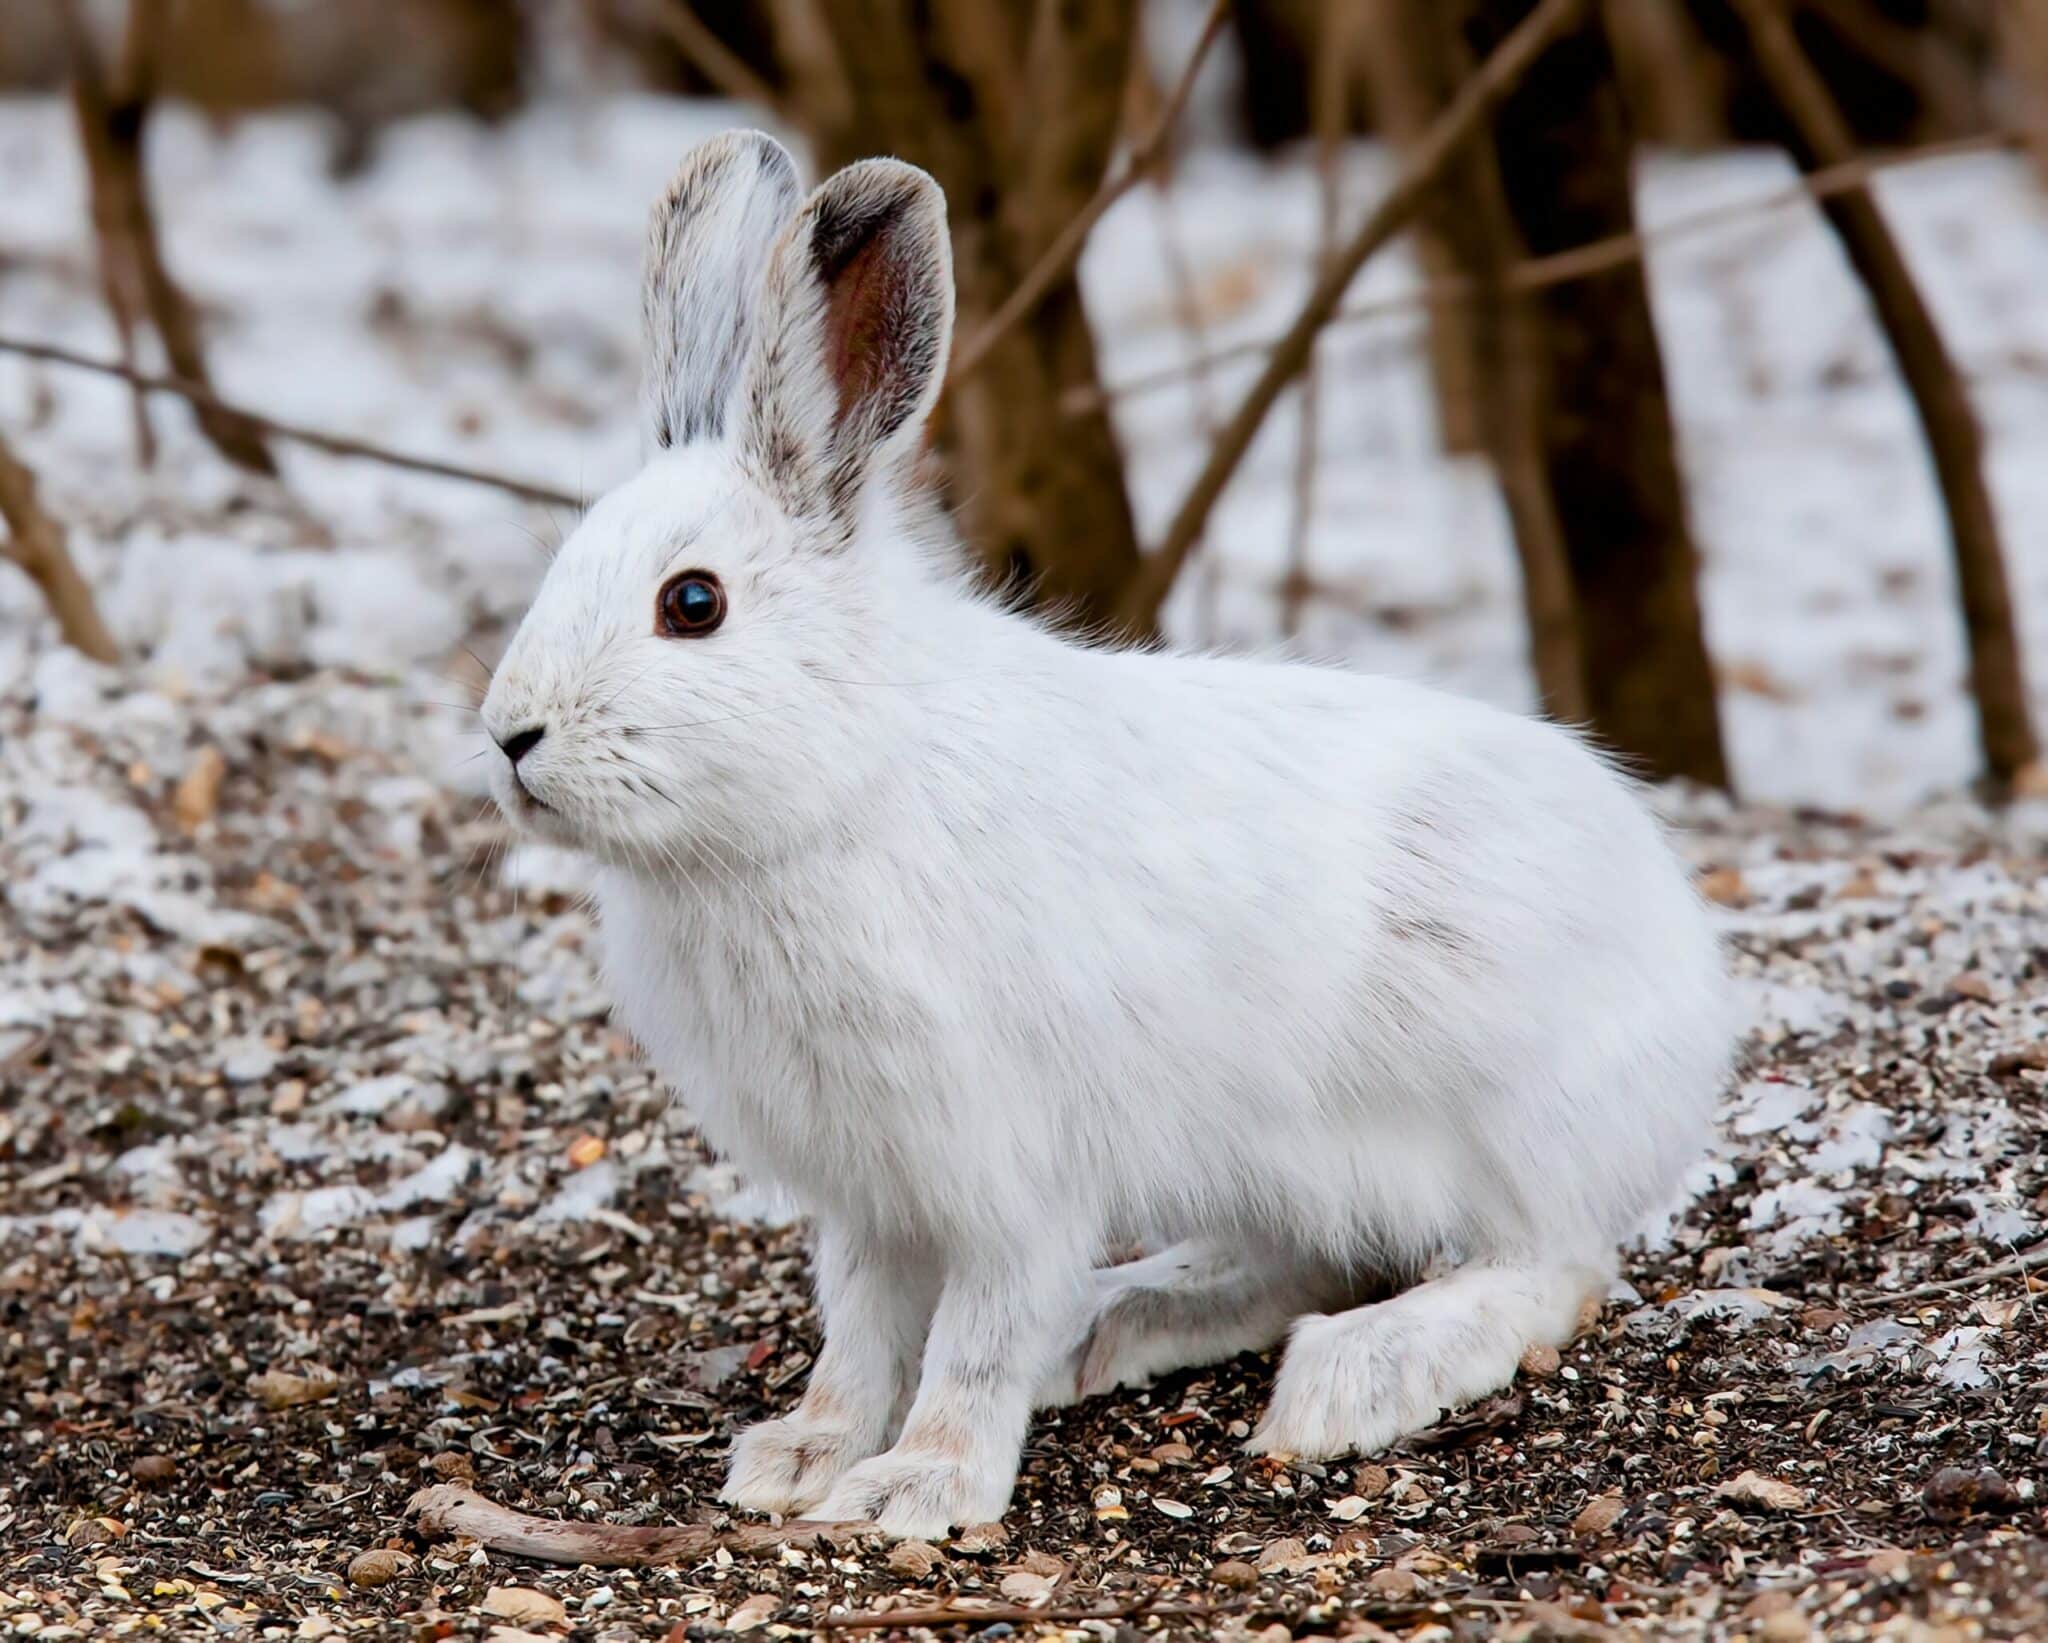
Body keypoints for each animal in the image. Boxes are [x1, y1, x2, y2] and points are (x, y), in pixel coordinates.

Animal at [478, 129, 1742, 1541]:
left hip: (1496, 1120)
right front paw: (800, 1456)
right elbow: (857, 1327)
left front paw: (918, 1484)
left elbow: (974, 1334)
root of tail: (1690, 1003)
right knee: (1308, 1259)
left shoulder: (1002, 1165)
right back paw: (1115, 1325)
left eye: (690, 604)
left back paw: (1344, 1380)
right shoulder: (868, 1189)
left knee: (1545, 1264)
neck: (844, 773)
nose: (509, 735)